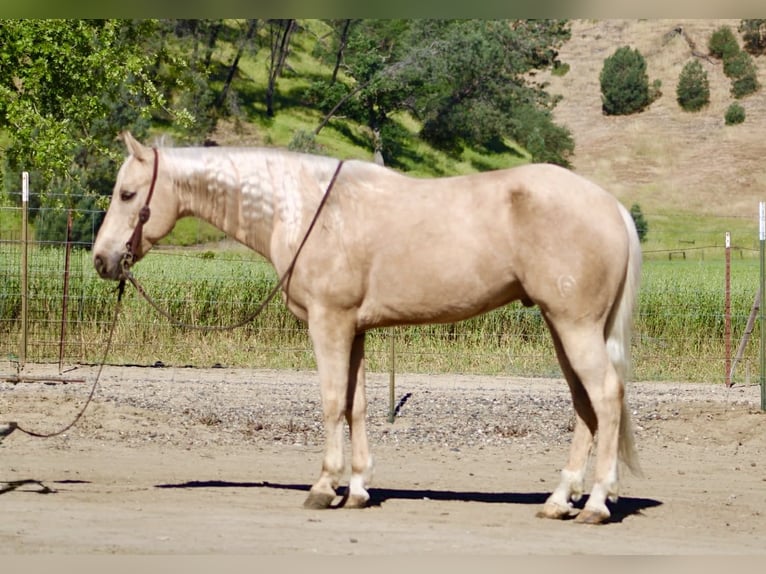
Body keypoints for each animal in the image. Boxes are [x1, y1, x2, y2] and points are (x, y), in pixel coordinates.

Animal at [93, 131, 642, 524]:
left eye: (127, 193)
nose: (101, 259)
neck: (306, 209)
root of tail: (611, 206)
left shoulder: (328, 323)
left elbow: (332, 401)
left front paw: (323, 487)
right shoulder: (353, 329)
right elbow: (355, 405)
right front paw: (356, 489)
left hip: (575, 326)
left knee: (606, 396)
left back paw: (595, 504)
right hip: (562, 326)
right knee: (585, 405)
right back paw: (559, 499)